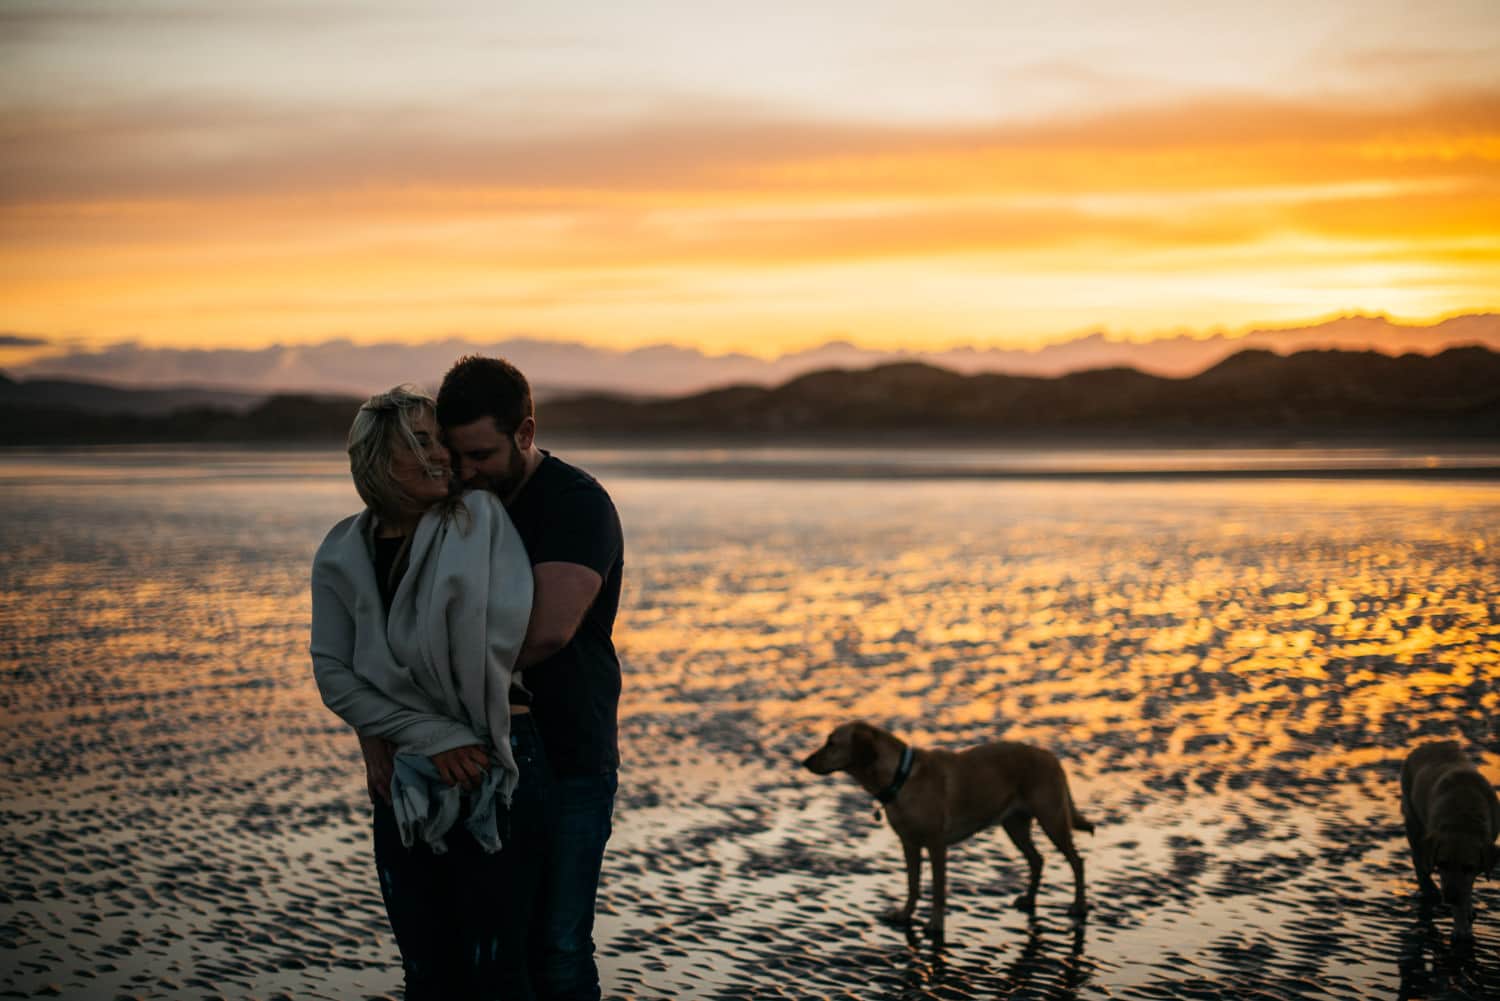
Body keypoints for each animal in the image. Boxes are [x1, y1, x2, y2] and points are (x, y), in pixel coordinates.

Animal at [804, 720, 1098, 942]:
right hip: (1015, 825)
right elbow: (913, 885)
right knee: (1038, 859)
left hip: (1052, 820)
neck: (900, 776)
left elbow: (937, 888)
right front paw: (905, 915)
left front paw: (935, 925)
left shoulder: (936, 844)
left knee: (1077, 861)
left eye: (831, 743)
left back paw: (1079, 906)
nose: (804, 762)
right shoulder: (909, 843)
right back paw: (1029, 899)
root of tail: (1051, 756)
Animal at [1398, 744, 1494, 942]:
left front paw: (1467, 911)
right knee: (1418, 860)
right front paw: (1461, 928)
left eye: (1468, 867)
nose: (1449, 897)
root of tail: (1426, 744)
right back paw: (1429, 889)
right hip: (1412, 817)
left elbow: (1467, 887)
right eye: (1442, 863)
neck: (1463, 818)